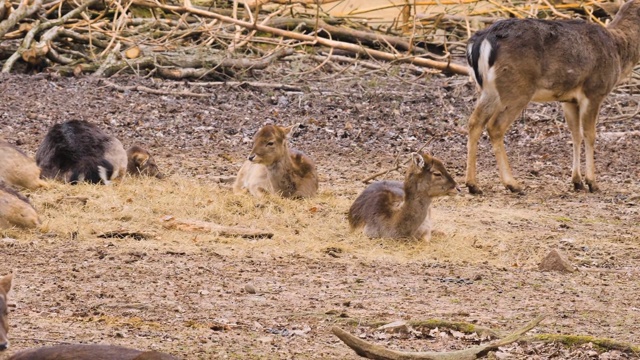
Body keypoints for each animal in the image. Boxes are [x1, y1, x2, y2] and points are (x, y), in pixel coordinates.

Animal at [462, 0, 640, 194]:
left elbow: (575, 135)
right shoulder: (594, 91)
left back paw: (473, 185)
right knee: (495, 126)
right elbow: (590, 135)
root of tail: (481, 41)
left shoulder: (569, 99)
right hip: (516, 89)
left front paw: (577, 181)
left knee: (474, 122)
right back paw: (512, 183)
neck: (618, 51)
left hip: (487, 90)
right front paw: (592, 182)